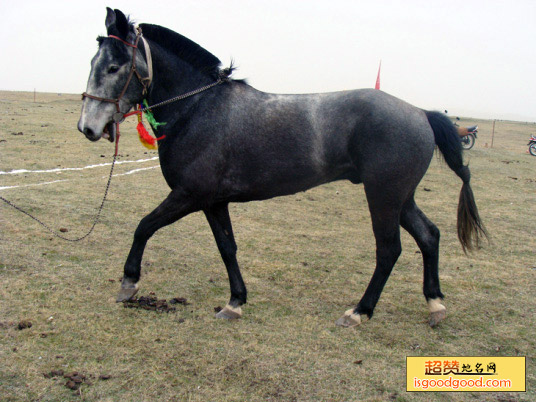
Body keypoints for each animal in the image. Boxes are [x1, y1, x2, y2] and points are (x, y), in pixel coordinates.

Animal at [78, 8, 486, 326]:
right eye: (93, 63)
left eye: (114, 66)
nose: (88, 127)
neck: (198, 108)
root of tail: (420, 113)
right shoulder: (213, 202)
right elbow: (227, 248)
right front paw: (235, 303)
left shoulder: (189, 195)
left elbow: (144, 227)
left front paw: (129, 283)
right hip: (401, 197)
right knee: (429, 236)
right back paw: (434, 304)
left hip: (383, 196)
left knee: (389, 250)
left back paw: (359, 311)